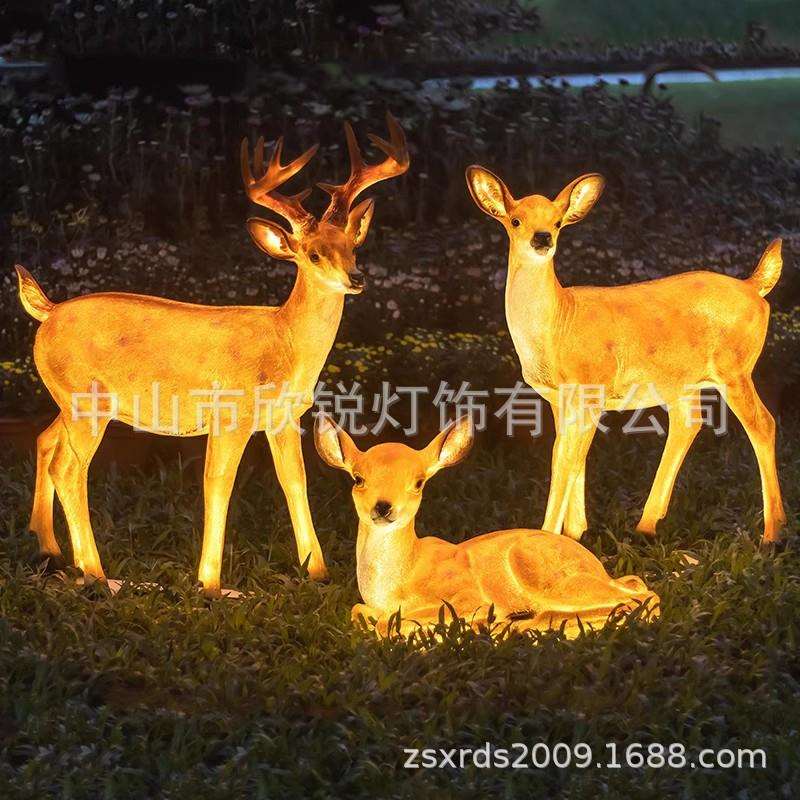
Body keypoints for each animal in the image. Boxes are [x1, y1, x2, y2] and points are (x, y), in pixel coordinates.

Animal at [14, 112, 409, 596]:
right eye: (314, 254)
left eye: (353, 247)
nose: (356, 278)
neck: (285, 341)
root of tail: (47, 311)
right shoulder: (230, 414)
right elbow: (218, 484)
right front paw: (210, 582)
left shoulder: (283, 418)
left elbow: (294, 482)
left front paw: (318, 571)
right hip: (85, 403)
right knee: (69, 470)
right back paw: (95, 572)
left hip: (70, 402)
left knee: (45, 440)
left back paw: (49, 550)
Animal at [314, 413, 659, 638]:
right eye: (358, 478)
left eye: (419, 482)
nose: (384, 507)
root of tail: (593, 562)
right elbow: (359, 612)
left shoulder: (466, 594)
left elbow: (393, 623)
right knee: (635, 587)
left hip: (544, 574)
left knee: (642, 598)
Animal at [466, 166, 786, 545]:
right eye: (515, 220)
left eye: (557, 222)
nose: (542, 238)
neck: (558, 322)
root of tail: (755, 288)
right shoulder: (560, 399)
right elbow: (569, 455)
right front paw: (575, 532)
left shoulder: (591, 387)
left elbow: (565, 458)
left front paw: (550, 537)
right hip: (680, 380)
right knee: (689, 422)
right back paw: (647, 524)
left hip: (734, 368)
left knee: (763, 423)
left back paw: (771, 533)